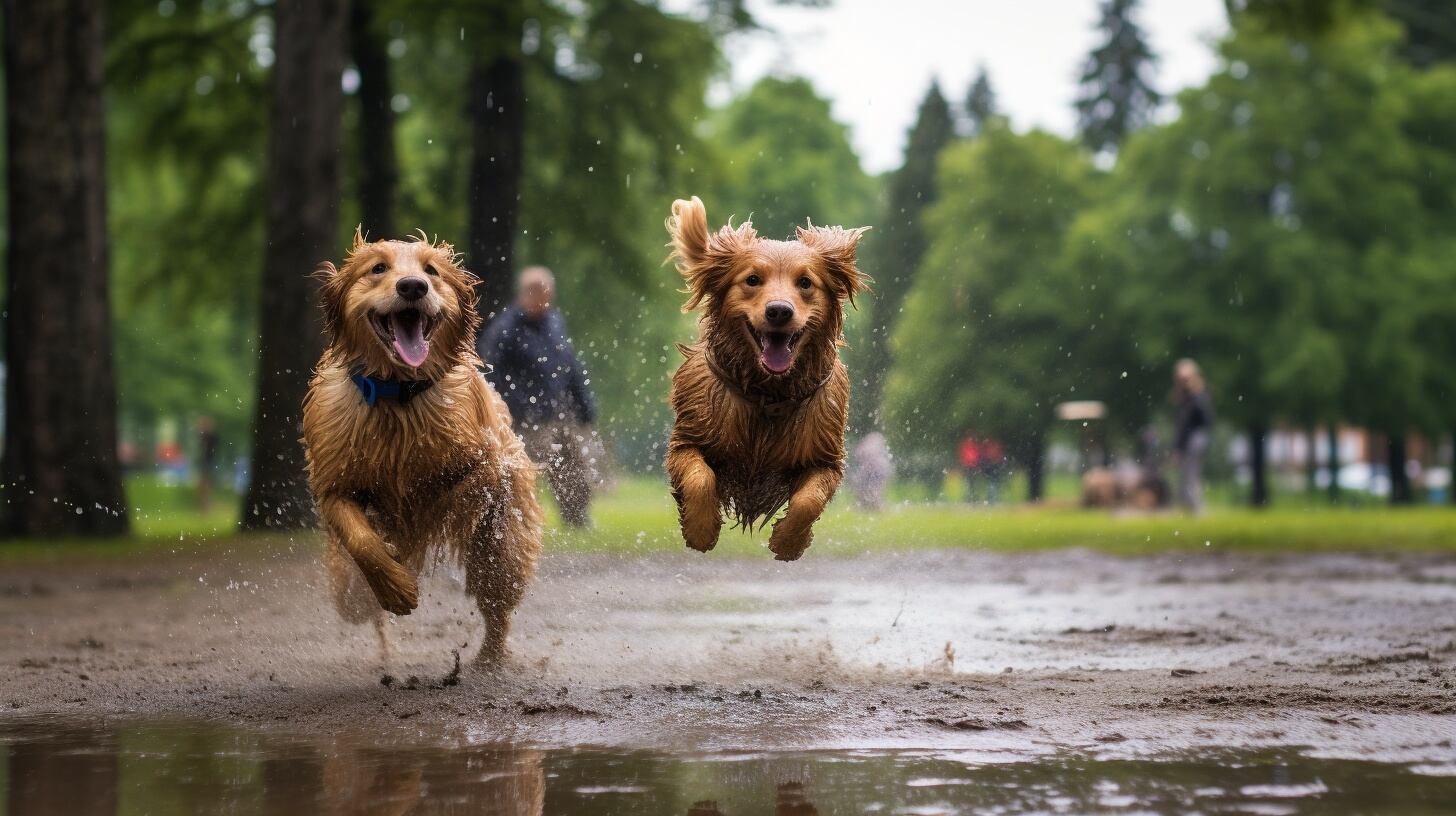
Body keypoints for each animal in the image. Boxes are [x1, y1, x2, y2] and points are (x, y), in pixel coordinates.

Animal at [298, 231, 544, 670]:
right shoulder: (334, 483)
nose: (413, 286)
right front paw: (396, 586)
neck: (398, 396)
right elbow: (361, 539)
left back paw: (490, 660)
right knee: (352, 600)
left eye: (432, 270)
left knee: (497, 598)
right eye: (377, 268)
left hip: (502, 549)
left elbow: (466, 484)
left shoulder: (491, 458)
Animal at [666, 196, 867, 559]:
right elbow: (701, 478)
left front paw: (788, 542)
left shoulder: (826, 457)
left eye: (805, 283)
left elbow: (809, 500)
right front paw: (700, 531)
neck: (768, 394)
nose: (779, 311)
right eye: (752, 280)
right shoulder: (686, 440)